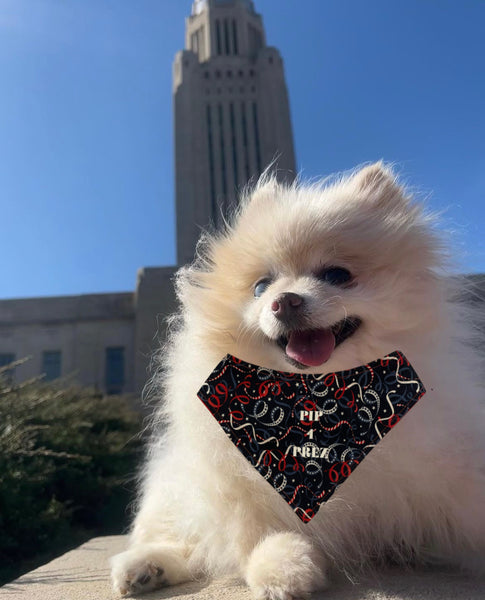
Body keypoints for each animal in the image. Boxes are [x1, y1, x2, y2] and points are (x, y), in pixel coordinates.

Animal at [110, 162, 484, 596]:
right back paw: (143, 566)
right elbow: (255, 528)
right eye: (261, 286)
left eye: (337, 275)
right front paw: (281, 566)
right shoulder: (235, 475)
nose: (284, 300)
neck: (316, 400)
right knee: (182, 540)